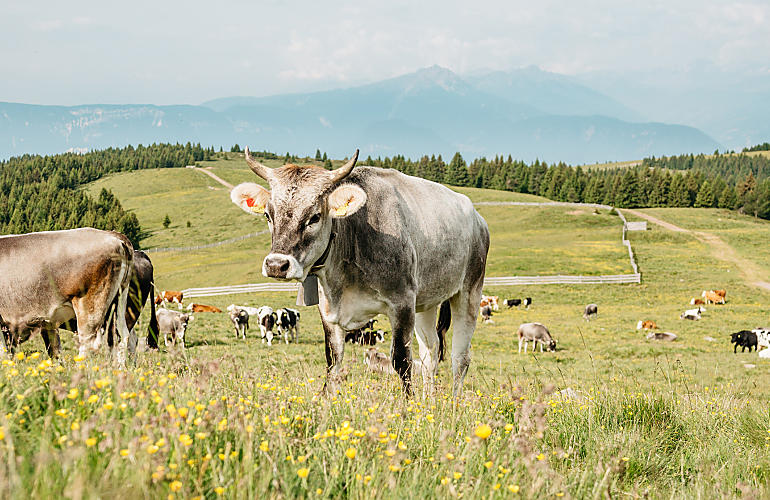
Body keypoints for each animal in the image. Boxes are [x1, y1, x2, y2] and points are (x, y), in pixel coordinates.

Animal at [231, 146, 488, 396]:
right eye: (268, 215)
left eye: (315, 217)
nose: (276, 265)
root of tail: (478, 218)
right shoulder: (328, 312)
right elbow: (333, 360)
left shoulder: (402, 302)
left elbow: (401, 361)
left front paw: (408, 404)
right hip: (427, 301)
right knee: (430, 353)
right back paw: (429, 401)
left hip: (469, 292)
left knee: (460, 358)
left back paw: (453, 402)